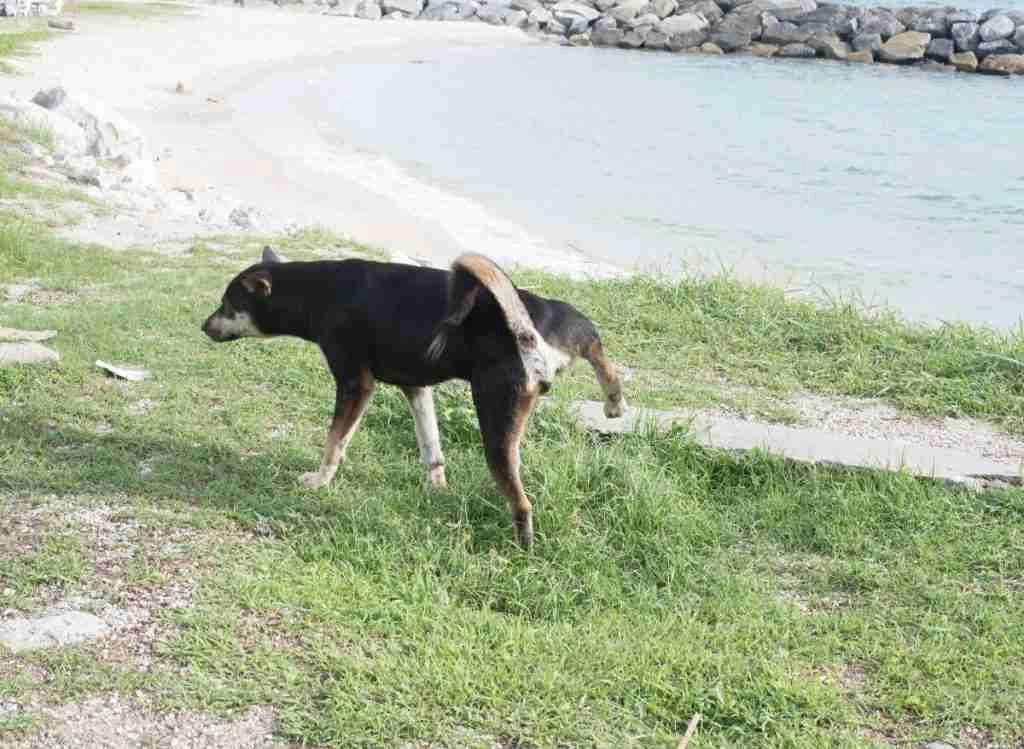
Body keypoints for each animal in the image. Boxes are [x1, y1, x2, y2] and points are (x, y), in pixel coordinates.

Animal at [201, 248, 622, 549]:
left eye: (228, 305)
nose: (203, 326)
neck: (318, 293)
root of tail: (527, 337)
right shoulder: (415, 387)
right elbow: (428, 443)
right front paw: (436, 486)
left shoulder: (355, 383)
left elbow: (335, 439)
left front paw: (320, 480)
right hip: (571, 324)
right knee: (599, 351)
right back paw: (614, 402)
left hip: (495, 424)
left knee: (522, 503)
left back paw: (523, 547)